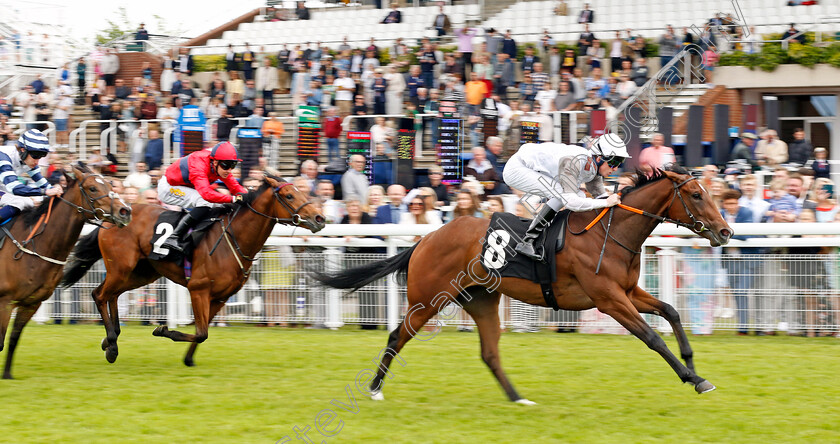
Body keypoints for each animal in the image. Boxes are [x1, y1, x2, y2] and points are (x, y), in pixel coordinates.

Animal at [0, 165, 131, 380]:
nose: (125, 211)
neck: (34, 245)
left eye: (110, 184)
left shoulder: (31, 303)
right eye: (93, 188)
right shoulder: (5, 301)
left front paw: (7, 375)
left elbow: (12, 339)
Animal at [61, 175, 324, 366]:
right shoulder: (198, 289)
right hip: (121, 268)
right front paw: (163, 330)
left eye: (302, 191)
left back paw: (110, 338)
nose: (320, 218)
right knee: (99, 294)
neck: (233, 238)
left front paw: (188, 358)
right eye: (289, 195)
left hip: (141, 272)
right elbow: (201, 332)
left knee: (111, 295)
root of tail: (115, 216)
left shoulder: (220, 297)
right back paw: (112, 344)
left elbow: (202, 331)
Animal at [312, 166, 732, 402]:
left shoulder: (628, 292)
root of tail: (426, 239)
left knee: (490, 353)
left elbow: (672, 311)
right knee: (397, 335)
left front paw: (694, 367)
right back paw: (374, 388)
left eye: (710, 192)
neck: (612, 233)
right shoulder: (608, 298)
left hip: (481, 300)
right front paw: (693, 379)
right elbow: (653, 337)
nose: (725, 231)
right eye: (697, 194)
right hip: (427, 299)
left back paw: (518, 399)